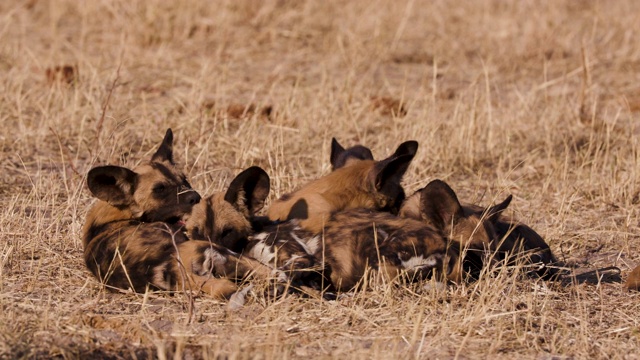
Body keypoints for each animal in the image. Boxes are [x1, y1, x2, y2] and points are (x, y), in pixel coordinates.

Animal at [82, 129, 278, 298]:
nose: (195, 196)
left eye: (184, 180)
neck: (118, 214)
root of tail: (170, 268)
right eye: (160, 189)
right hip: (219, 250)